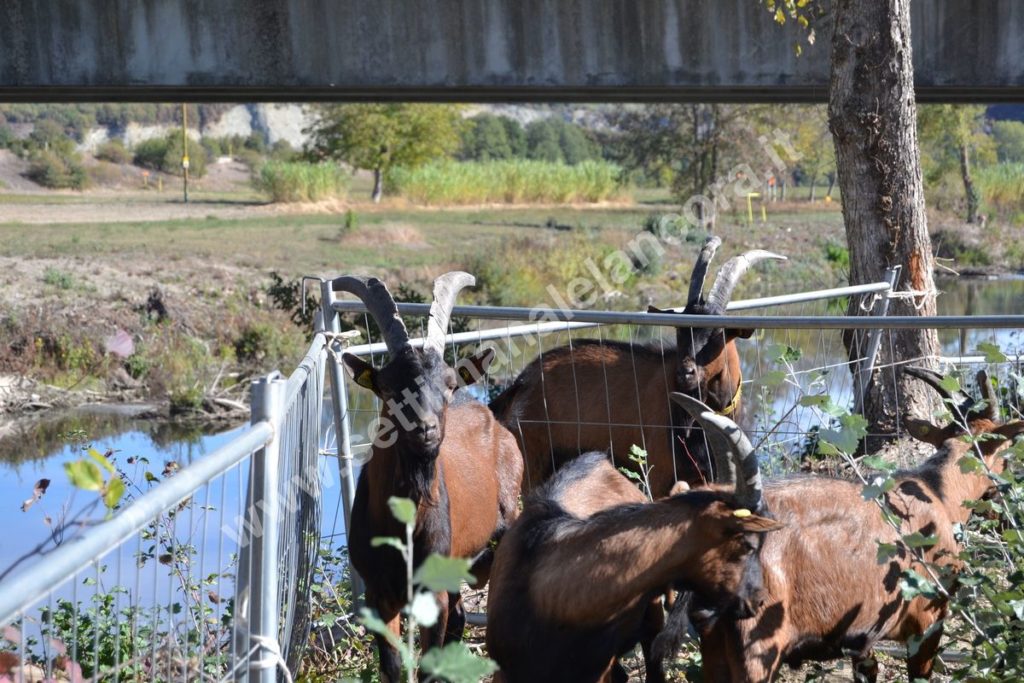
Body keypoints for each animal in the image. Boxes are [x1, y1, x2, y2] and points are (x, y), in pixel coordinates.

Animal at [339, 272, 524, 683]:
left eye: (450, 384)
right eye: (388, 387)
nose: (425, 429)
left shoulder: (431, 592)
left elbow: (427, 666)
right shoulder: (377, 595)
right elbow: (392, 667)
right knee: (459, 617)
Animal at [489, 236, 782, 497]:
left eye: (718, 332)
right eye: (679, 329)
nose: (685, 373)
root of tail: (521, 382)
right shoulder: (660, 475)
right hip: (529, 462)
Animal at [671, 374, 1024, 683]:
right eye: (1004, 452)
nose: (1003, 494)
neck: (936, 492)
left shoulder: (862, 636)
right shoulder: (928, 617)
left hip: (716, 648)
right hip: (756, 648)